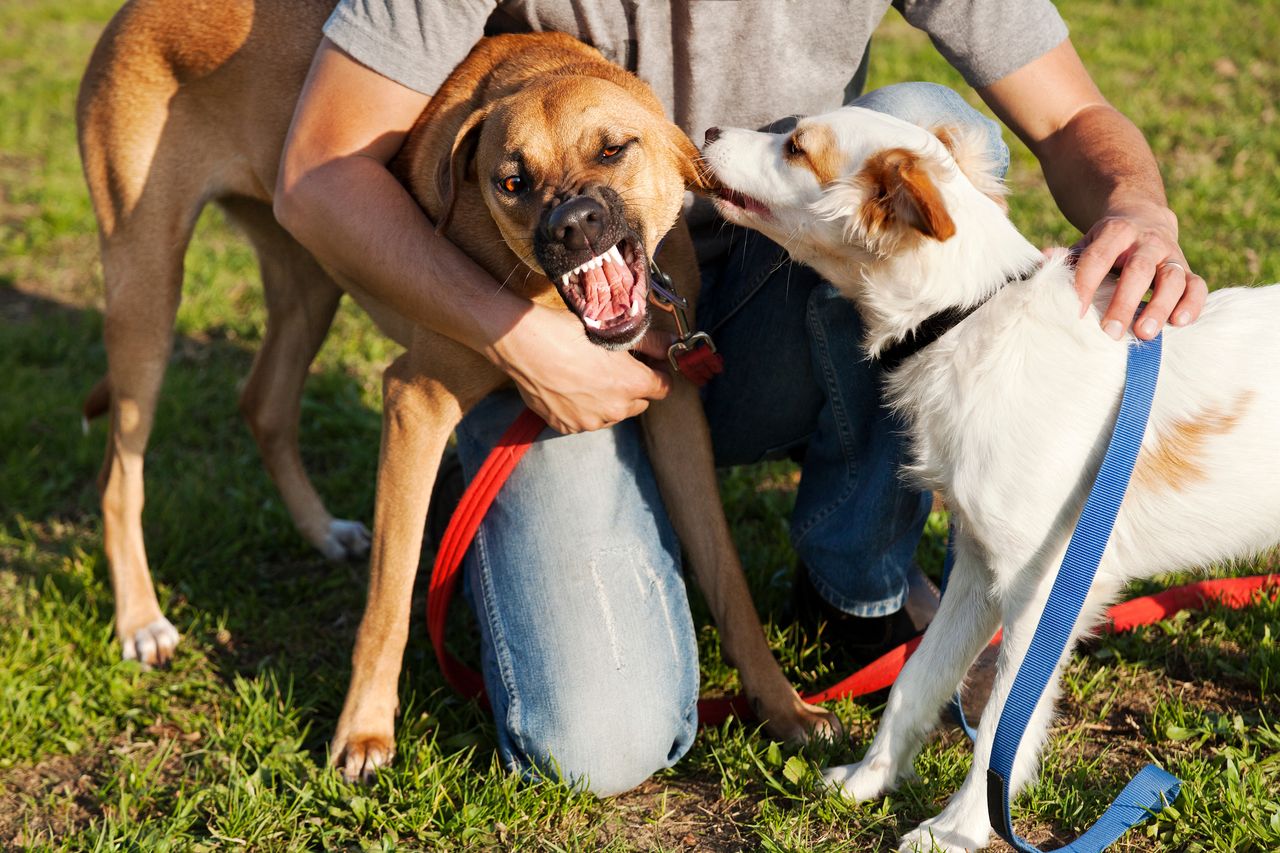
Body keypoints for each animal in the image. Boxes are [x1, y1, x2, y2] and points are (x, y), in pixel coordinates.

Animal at [77, 0, 839, 778]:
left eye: (613, 150)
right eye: (512, 181)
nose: (572, 225)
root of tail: (128, 17)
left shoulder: (677, 413)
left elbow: (729, 580)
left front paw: (785, 707)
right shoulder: (415, 401)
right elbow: (390, 593)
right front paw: (364, 731)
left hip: (306, 277)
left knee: (263, 404)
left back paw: (321, 531)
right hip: (148, 292)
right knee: (118, 475)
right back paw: (141, 620)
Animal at [701, 108, 1280, 850]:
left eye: (796, 147)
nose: (709, 133)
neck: (964, 322)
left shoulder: (1043, 588)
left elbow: (1005, 722)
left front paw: (959, 828)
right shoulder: (977, 568)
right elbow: (915, 678)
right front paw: (870, 777)